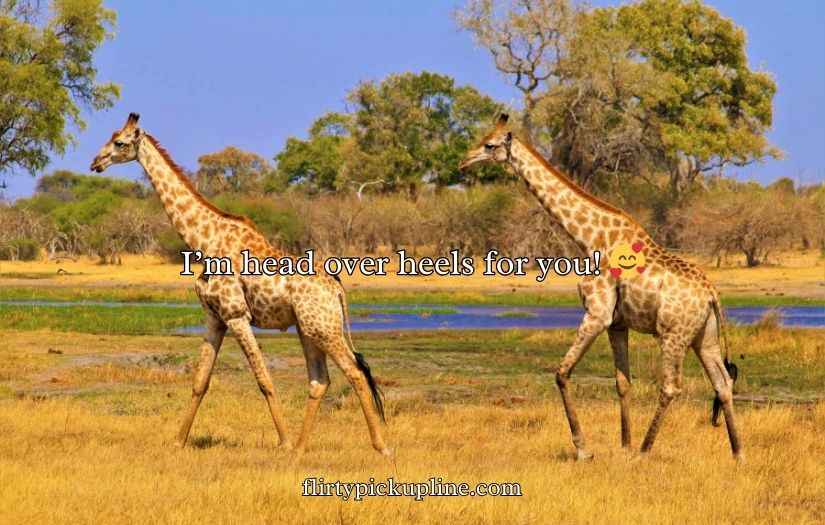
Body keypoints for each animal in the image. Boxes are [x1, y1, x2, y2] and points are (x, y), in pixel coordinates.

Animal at [90, 113, 391, 457]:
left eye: (119, 142)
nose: (95, 162)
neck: (203, 241)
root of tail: (338, 290)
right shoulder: (214, 317)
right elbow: (200, 381)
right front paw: (178, 441)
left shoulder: (236, 315)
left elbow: (264, 380)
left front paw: (283, 441)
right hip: (309, 329)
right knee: (320, 380)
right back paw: (302, 448)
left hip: (325, 329)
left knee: (355, 372)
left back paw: (379, 446)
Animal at [459, 114, 742, 460]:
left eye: (489, 145)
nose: (463, 161)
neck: (590, 239)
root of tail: (712, 295)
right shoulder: (617, 324)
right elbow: (623, 382)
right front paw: (623, 443)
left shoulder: (597, 314)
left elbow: (562, 373)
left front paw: (584, 449)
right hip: (705, 337)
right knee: (723, 382)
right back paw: (738, 453)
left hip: (674, 334)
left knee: (671, 386)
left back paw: (645, 451)